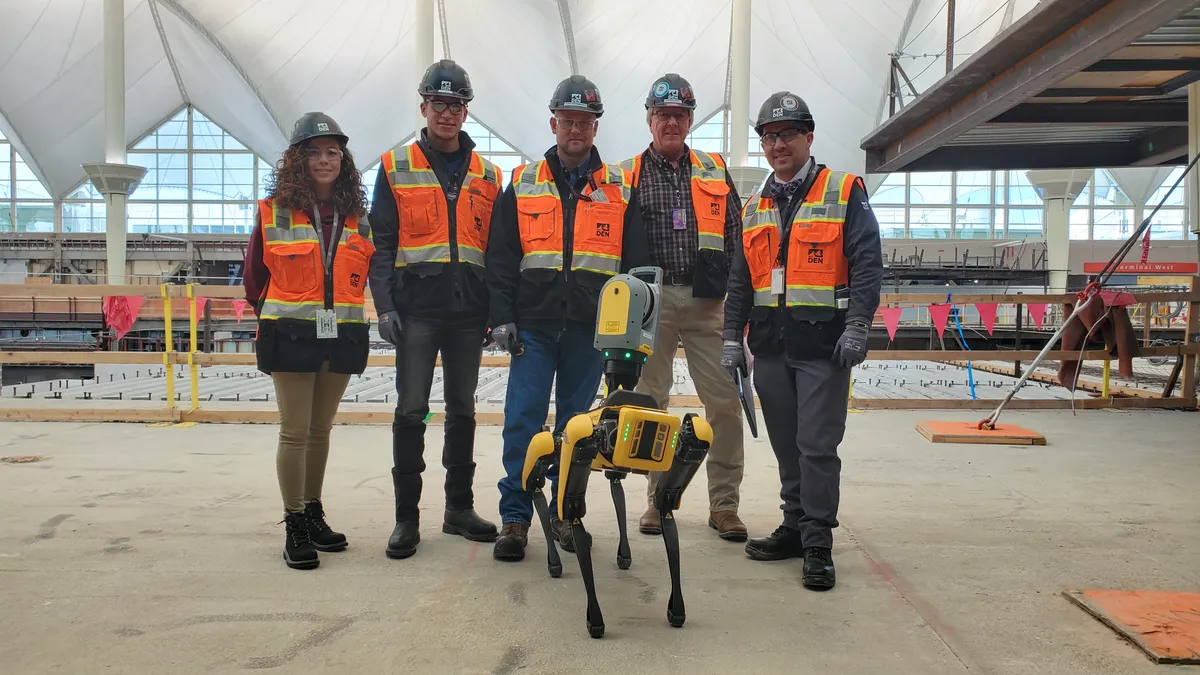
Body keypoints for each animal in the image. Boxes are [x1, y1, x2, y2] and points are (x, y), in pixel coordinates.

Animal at [518, 264, 710, 634]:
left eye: (661, 435)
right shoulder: (581, 438)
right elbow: (572, 510)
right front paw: (595, 617)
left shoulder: (690, 439)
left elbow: (666, 506)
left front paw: (676, 607)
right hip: (554, 444)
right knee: (535, 470)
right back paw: (553, 559)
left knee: (614, 484)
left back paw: (623, 553)